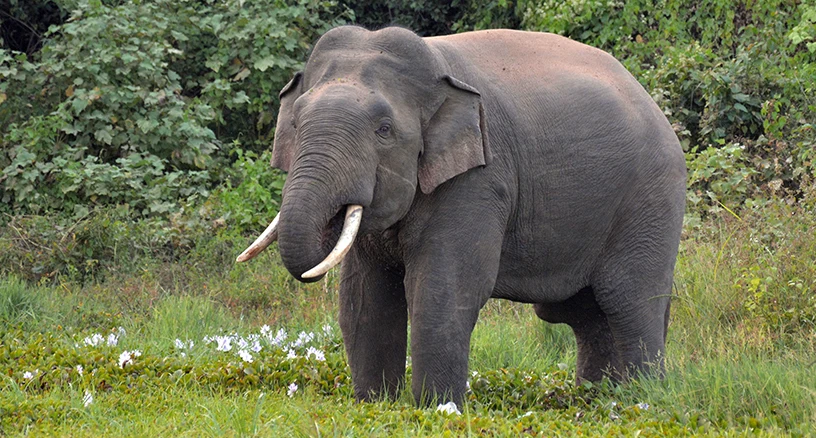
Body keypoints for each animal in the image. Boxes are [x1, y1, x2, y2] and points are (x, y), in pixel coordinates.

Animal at [237, 26, 686, 407]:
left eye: (384, 129)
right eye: (296, 123)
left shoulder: (480, 179)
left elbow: (444, 287)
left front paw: (436, 409)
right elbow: (363, 296)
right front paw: (374, 404)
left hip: (651, 200)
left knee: (629, 300)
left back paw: (642, 401)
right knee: (584, 313)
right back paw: (597, 400)